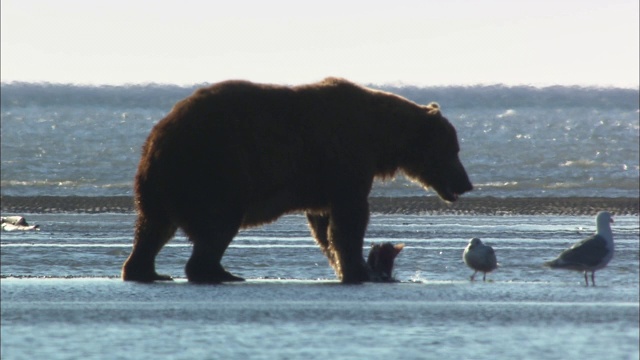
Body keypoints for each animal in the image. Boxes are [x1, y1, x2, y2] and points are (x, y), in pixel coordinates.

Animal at [121, 78, 470, 284]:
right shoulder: (346, 157)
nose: (466, 183)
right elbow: (351, 215)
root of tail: (157, 138)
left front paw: (348, 265)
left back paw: (147, 270)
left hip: (163, 183)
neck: (381, 138)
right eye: (454, 149)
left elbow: (324, 224)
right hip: (215, 167)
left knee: (153, 227)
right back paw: (219, 272)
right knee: (218, 224)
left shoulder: (324, 180)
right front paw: (359, 270)